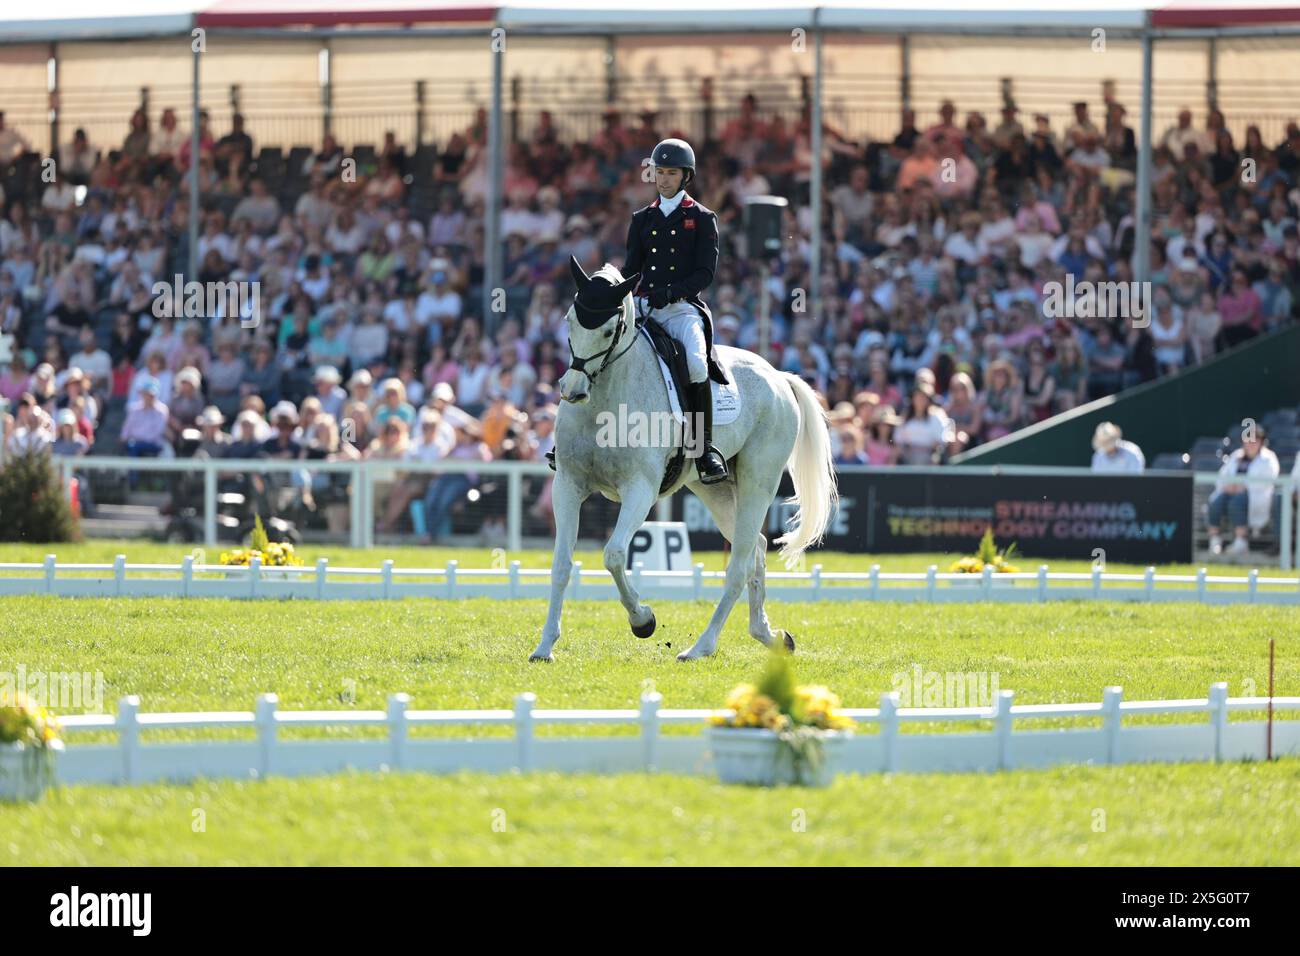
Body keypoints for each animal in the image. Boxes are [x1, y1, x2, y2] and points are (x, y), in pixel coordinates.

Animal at [530, 261, 842, 665]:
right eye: (569, 320)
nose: (572, 391)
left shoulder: (640, 489)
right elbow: (561, 564)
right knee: (755, 548)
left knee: (738, 564)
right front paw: (544, 646)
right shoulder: (567, 484)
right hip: (716, 489)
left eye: (609, 330)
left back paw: (701, 647)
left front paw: (643, 620)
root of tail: (778, 376)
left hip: (759, 479)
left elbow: (614, 554)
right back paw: (768, 636)